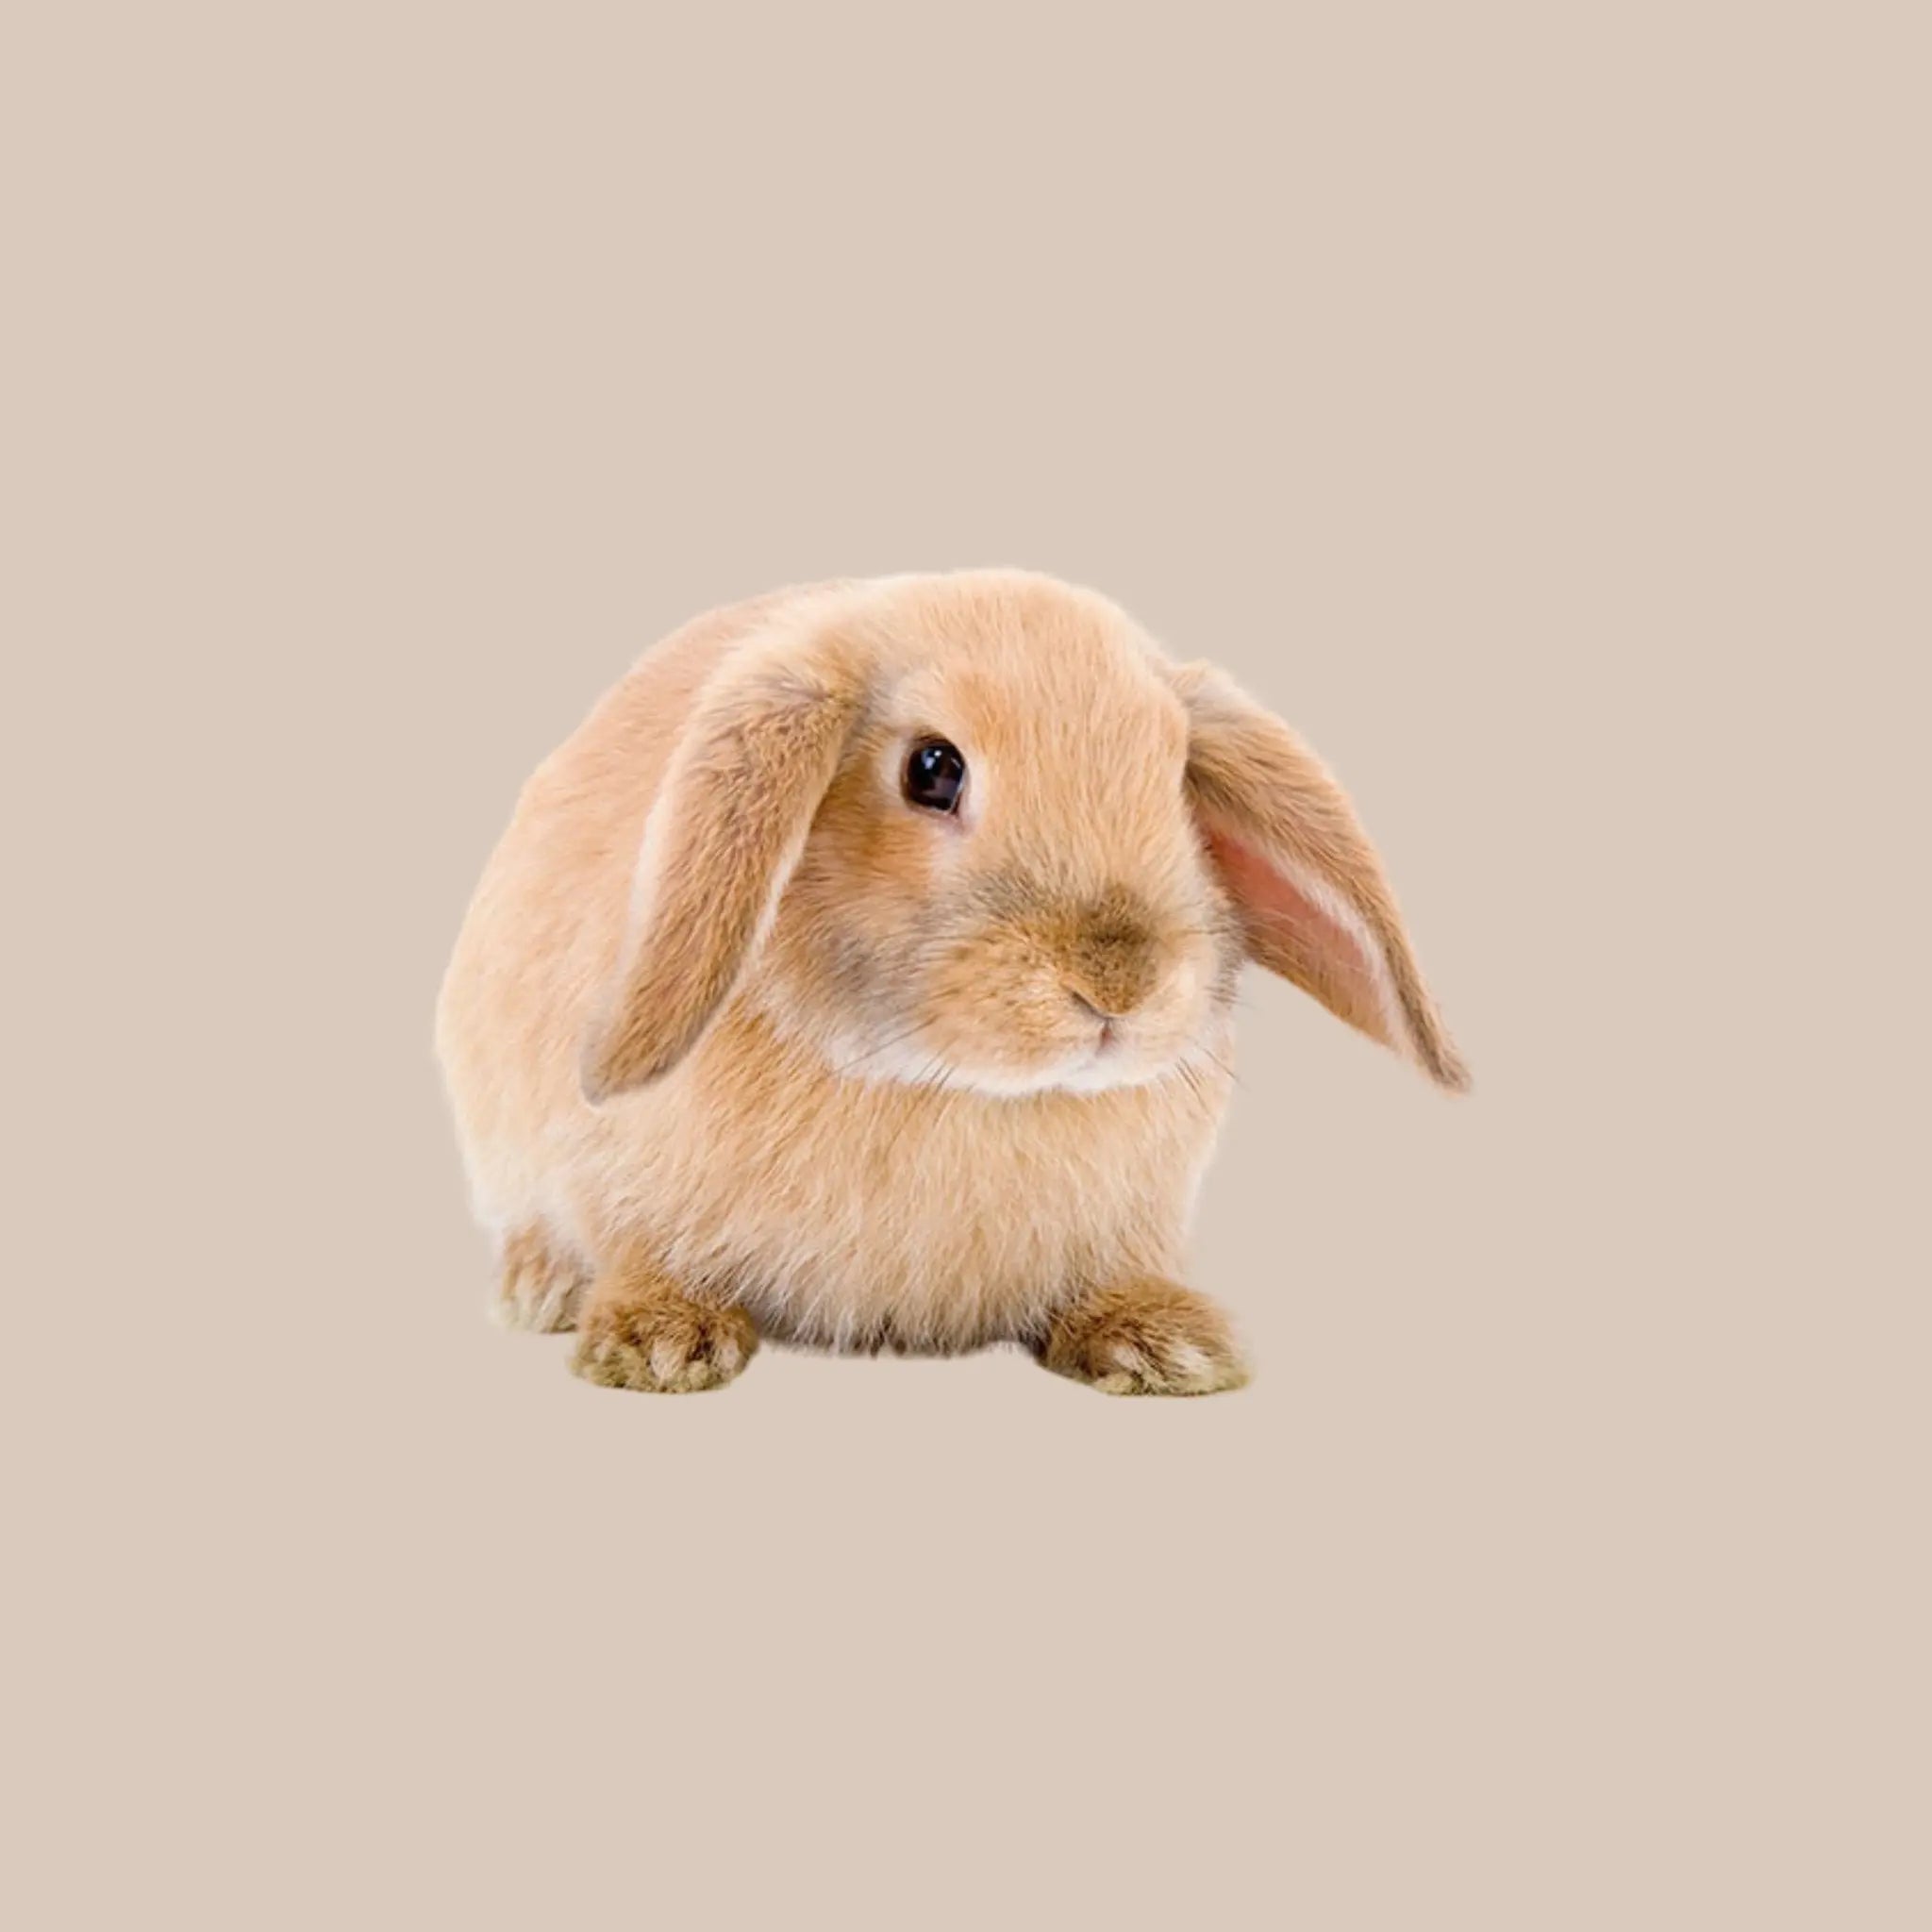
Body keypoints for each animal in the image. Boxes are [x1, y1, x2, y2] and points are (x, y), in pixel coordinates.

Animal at [434, 570, 1467, 1396]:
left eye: (1176, 778)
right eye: (933, 769)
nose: (1117, 981)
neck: (949, 1087)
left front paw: (1164, 1346)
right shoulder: (606, 1175)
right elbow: (639, 1251)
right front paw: (657, 1345)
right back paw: (540, 1289)